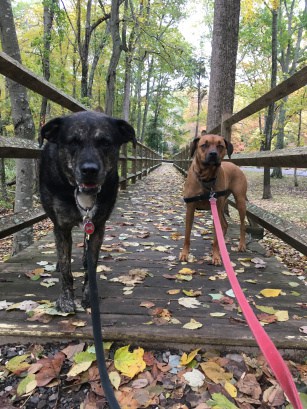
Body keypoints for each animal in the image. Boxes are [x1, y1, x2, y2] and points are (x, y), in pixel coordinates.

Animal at [39, 110, 136, 310]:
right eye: (73, 142)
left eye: (105, 142)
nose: (89, 170)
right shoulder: (61, 227)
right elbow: (66, 268)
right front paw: (66, 298)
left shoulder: (97, 226)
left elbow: (92, 262)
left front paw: (89, 295)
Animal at [180, 134, 248, 264]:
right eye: (204, 145)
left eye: (220, 146)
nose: (213, 154)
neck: (206, 178)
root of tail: (235, 166)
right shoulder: (190, 208)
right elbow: (187, 234)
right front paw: (184, 254)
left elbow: (217, 237)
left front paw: (216, 256)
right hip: (220, 207)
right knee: (224, 224)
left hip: (240, 201)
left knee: (242, 225)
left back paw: (241, 245)